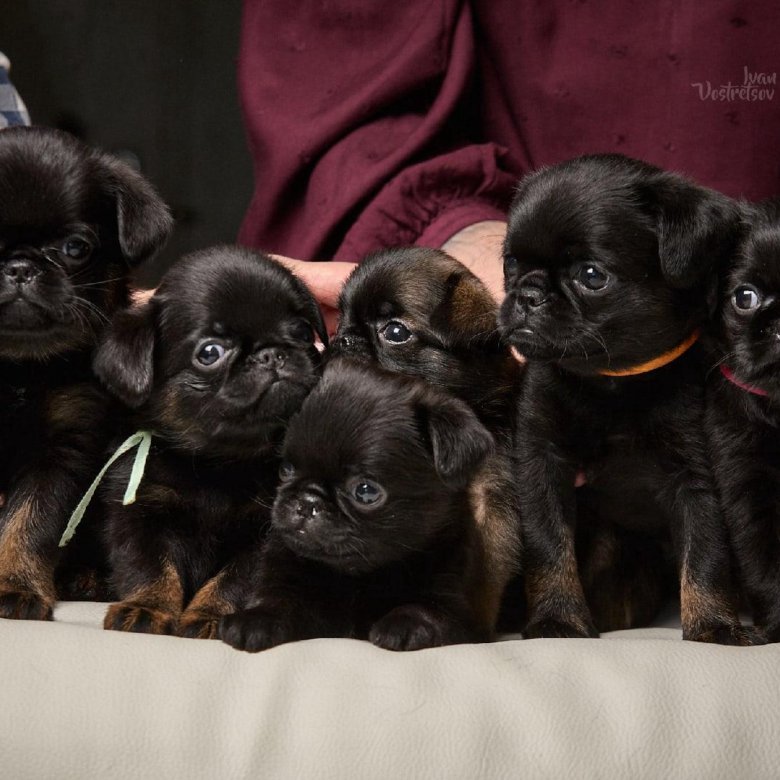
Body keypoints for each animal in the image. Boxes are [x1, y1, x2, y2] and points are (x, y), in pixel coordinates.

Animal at [0, 126, 173, 620]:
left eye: (74, 249)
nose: (19, 266)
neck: (17, 368)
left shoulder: (63, 450)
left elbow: (30, 522)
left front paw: (14, 584)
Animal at [90, 245, 327, 637]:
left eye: (303, 331)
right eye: (210, 353)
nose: (271, 353)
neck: (218, 462)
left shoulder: (265, 533)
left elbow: (236, 580)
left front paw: (212, 615)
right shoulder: (140, 515)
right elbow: (150, 567)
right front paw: (147, 606)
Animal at [219, 358, 495, 652]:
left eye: (365, 492)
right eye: (285, 470)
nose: (306, 501)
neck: (358, 577)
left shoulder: (454, 609)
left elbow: (427, 610)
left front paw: (404, 623)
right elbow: (276, 601)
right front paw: (255, 619)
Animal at [498, 153, 762, 644]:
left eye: (591, 276)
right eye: (509, 264)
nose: (527, 293)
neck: (613, 382)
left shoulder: (699, 480)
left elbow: (706, 556)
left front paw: (714, 625)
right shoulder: (542, 464)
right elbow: (549, 546)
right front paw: (557, 619)